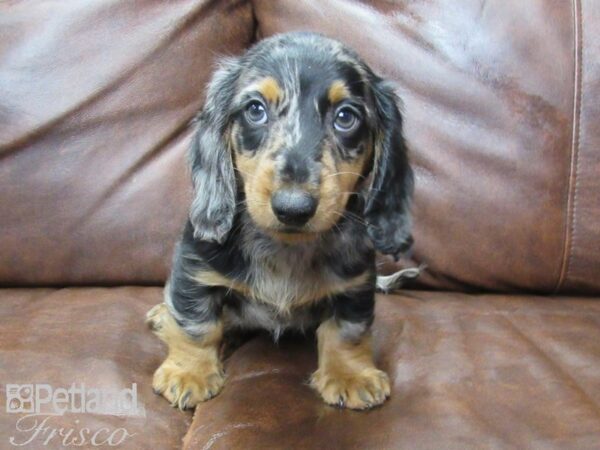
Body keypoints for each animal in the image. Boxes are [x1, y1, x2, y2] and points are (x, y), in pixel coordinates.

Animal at [148, 32, 414, 412]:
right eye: (255, 110)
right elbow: (196, 324)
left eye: (346, 117)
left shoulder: (356, 283)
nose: (293, 207)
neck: (285, 248)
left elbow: (347, 330)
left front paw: (351, 375)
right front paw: (189, 372)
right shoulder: (195, 264)